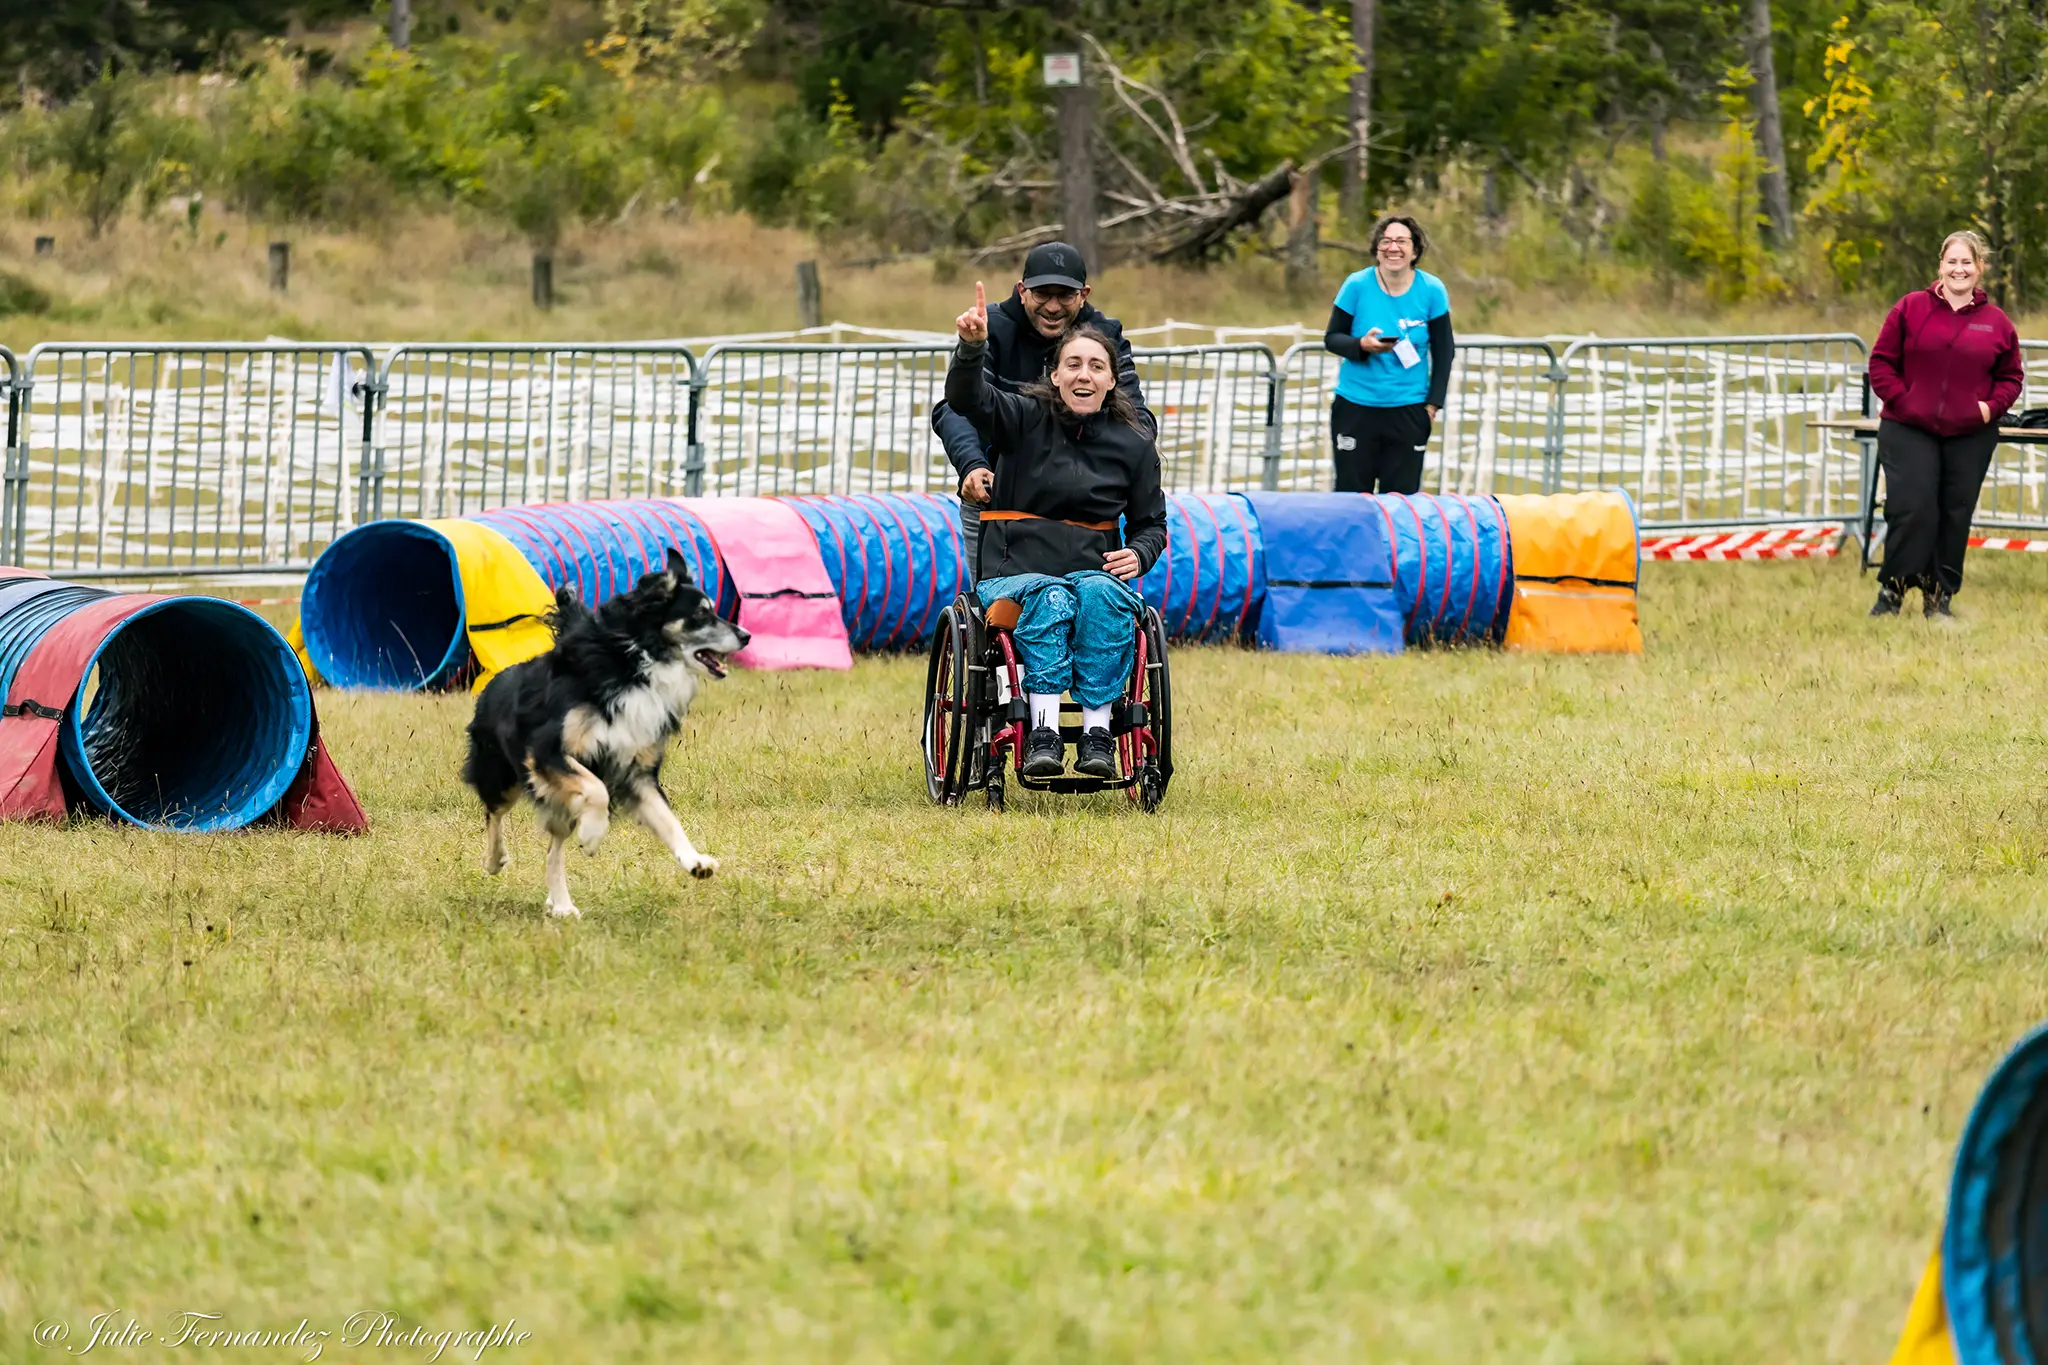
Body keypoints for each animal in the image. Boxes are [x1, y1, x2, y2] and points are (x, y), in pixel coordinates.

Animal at [460, 548, 749, 925]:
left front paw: (695, 861)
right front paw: (593, 835)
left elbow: (667, 818)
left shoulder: (636, 770)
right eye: (701, 613)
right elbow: (596, 790)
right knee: (494, 814)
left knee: (553, 849)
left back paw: (560, 903)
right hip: (503, 775)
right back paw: (495, 860)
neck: (636, 665)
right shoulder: (547, 751)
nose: (746, 636)